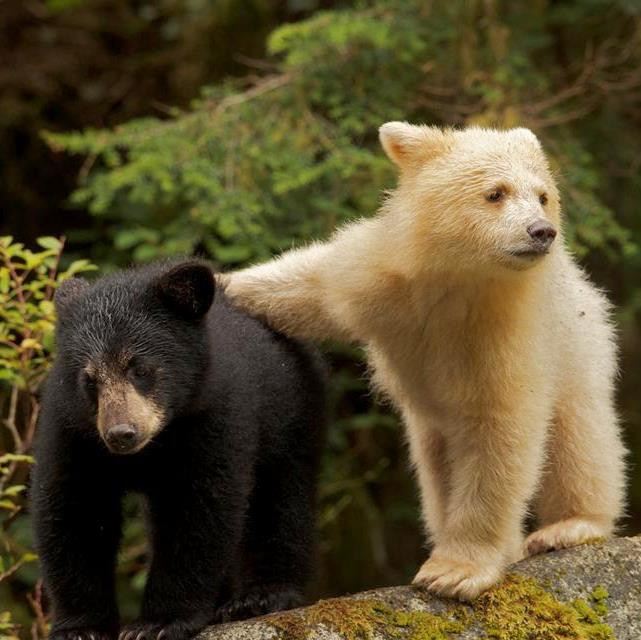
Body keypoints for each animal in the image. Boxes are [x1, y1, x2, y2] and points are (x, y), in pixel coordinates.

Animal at [30, 259, 326, 640]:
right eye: (90, 380)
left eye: (140, 368)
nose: (121, 434)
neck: (154, 445)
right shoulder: (73, 429)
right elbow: (75, 510)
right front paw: (81, 627)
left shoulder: (212, 413)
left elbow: (198, 509)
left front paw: (158, 622)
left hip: (291, 409)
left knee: (281, 497)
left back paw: (260, 596)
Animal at [220, 122, 626, 601]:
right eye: (496, 193)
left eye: (543, 195)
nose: (541, 231)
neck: (454, 281)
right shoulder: (381, 276)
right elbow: (306, 284)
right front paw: (217, 281)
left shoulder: (504, 333)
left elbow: (500, 430)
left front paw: (454, 571)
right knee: (436, 469)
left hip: (579, 343)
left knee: (578, 432)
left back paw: (569, 526)